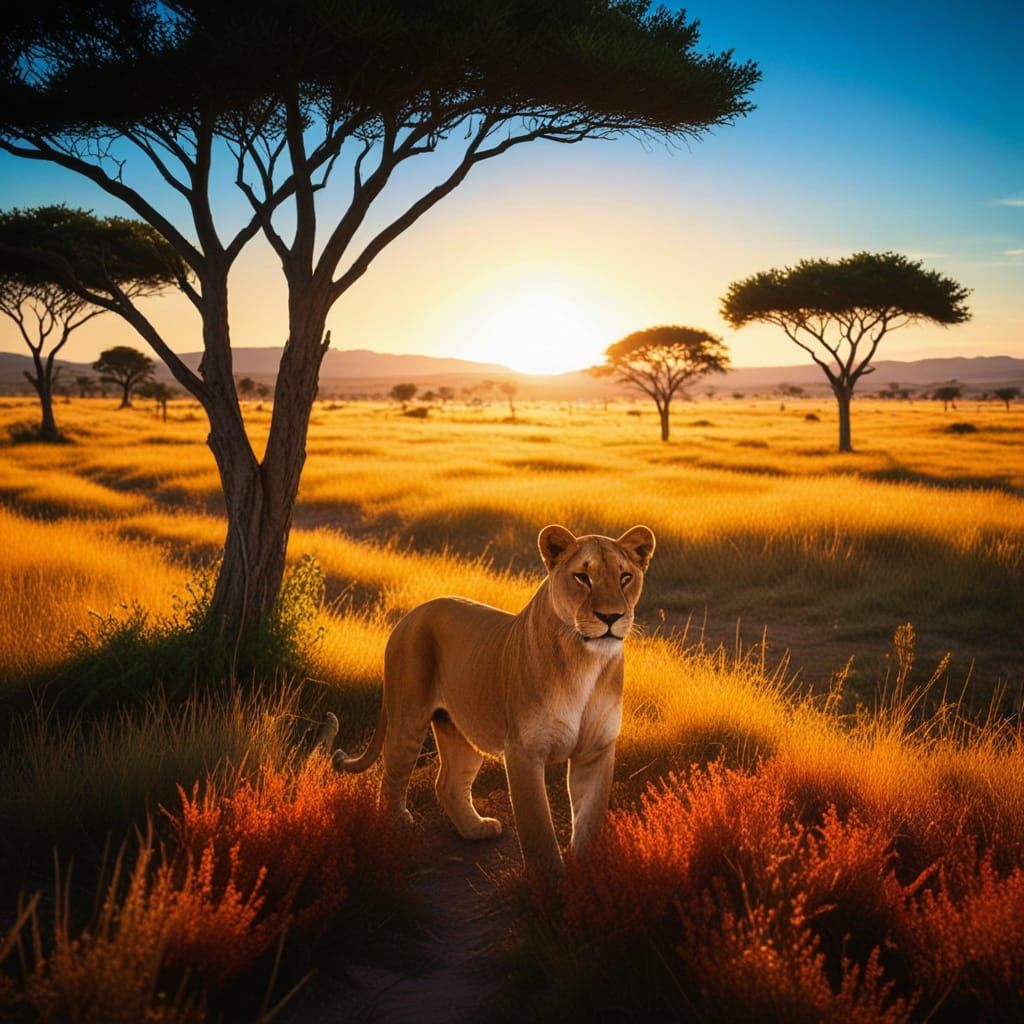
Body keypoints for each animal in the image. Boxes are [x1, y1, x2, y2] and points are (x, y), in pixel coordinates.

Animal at [325, 524, 655, 876]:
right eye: (582, 577)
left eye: (624, 577)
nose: (611, 617)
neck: (586, 661)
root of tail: (413, 613)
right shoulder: (523, 750)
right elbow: (537, 826)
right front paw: (550, 881)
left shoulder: (596, 750)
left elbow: (590, 820)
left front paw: (584, 874)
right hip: (407, 719)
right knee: (391, 780)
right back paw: (397, 830)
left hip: (462, 732)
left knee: (448, 784)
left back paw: (475, 829)